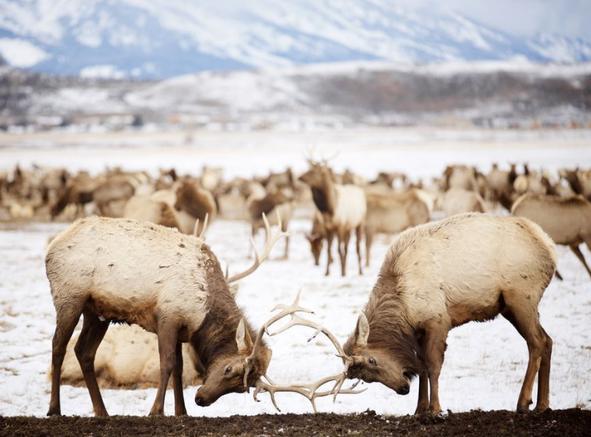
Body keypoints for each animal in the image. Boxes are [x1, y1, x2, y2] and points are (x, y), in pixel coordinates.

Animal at [316, 213, 556, 414]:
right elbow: (422, 366)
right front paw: (419, 409)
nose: (403, 388)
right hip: (512, 306)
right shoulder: (419, 329)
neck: (403, 306)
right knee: (548, 340)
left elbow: (432, 366)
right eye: (365, 378)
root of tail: (549, 247)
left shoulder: (438, 319)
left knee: (537, 342)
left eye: (372, 360)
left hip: (521, 296)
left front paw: (435, 409)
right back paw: (543, 404)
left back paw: (523, 402)